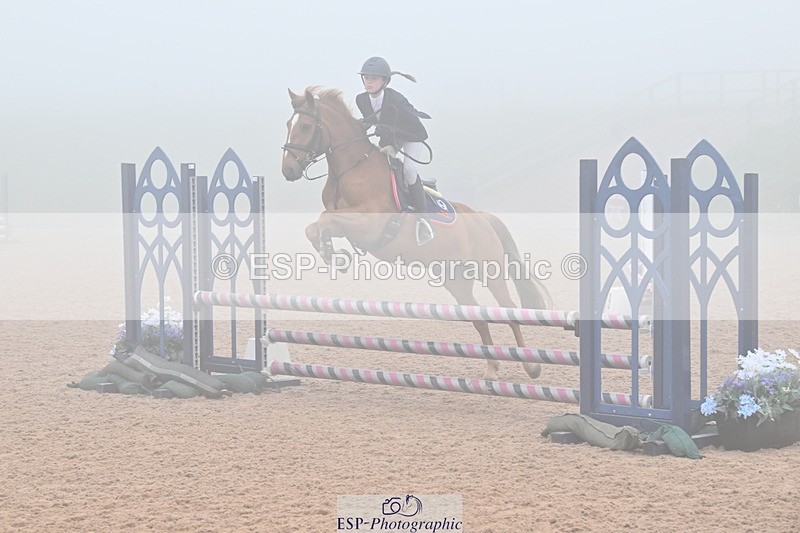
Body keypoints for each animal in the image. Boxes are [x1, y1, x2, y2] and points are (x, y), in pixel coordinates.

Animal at [281, 86, 553, 381]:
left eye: (306, 126)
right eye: (288, 125)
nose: (288, 170)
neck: (351, 167)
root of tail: (483, 218)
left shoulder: (369, 224)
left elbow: (326, 220)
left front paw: (334, 254)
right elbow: (315, 227)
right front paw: (333, 254)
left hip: (490, 272)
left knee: (508, 310)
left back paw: (531, 366)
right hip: (456, 280)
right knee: (479, 318)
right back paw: (491, 368)